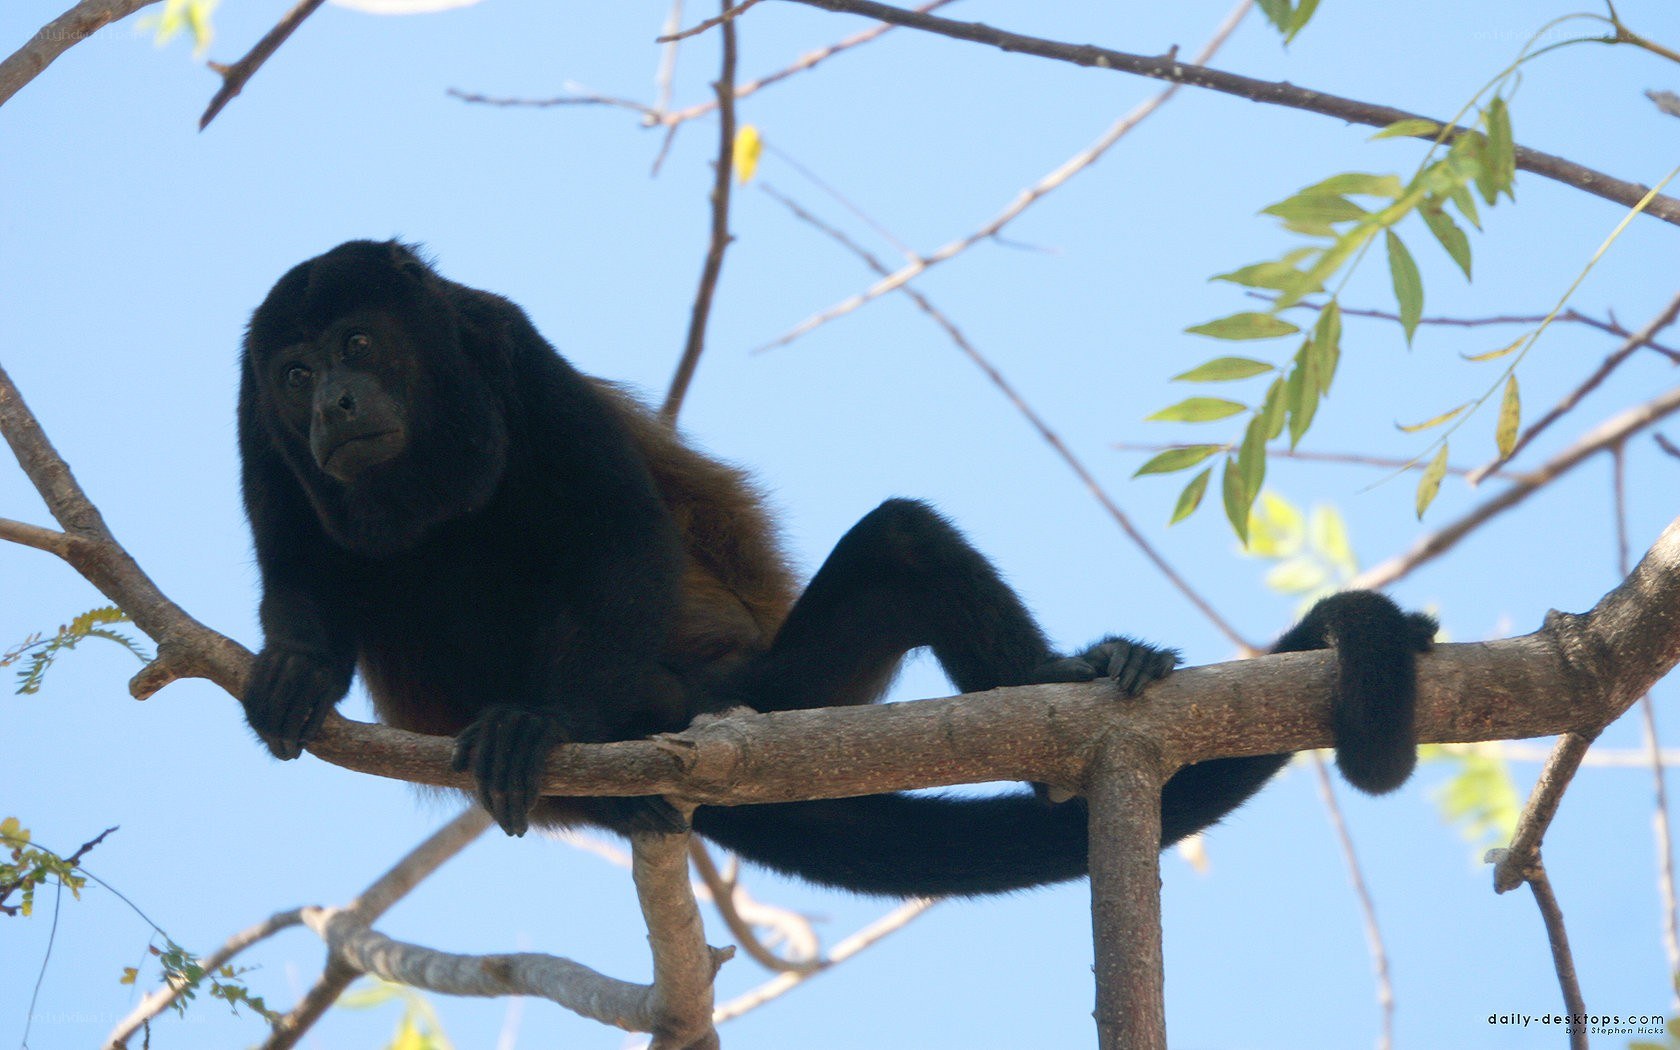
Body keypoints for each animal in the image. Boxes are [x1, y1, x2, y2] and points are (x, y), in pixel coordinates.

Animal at [238, 239, 1435, 898]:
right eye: (295, 373)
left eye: (357, 345)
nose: (332, 405)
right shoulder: (252, 415)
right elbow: (294, 563)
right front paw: (297, 664)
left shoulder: (503, 343)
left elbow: (618, 530)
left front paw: (548, 718)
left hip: (780, 691)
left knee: (903, 545)